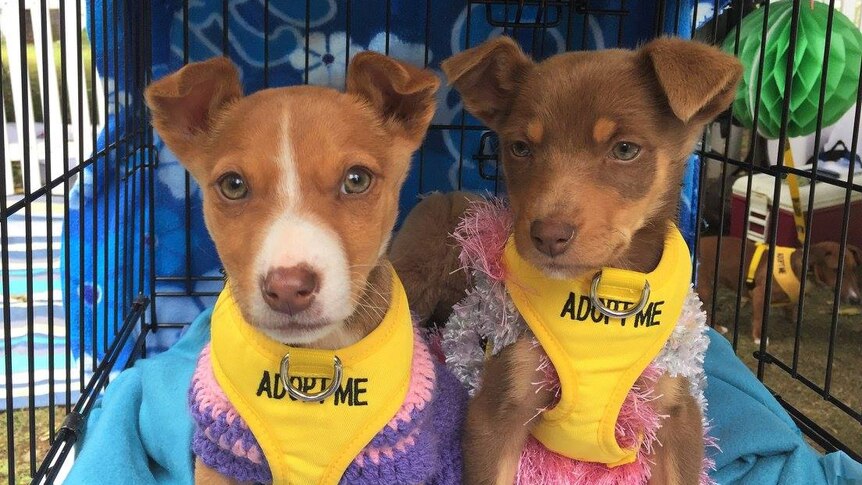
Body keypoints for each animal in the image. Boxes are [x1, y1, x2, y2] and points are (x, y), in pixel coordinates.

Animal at [144, 54, 470, 484]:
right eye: (233, 185)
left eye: (357, 179)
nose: (287, 287)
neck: (311, 362)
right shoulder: (224, 455)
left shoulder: (398, 461)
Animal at [392, 37, 744, 484]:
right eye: (520, 148)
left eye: (625, 149)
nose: (548, 235)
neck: (604, 293)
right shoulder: (501, 404)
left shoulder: (676, 409)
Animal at [700, 235, 860, 344]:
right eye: (836, 270)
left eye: (854, 269)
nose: (855, 299)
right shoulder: (759, 294)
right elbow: (759, 318)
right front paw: (758, 338)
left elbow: (791, 310)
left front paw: (794, 320)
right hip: (706, 290)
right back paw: (718, 328)